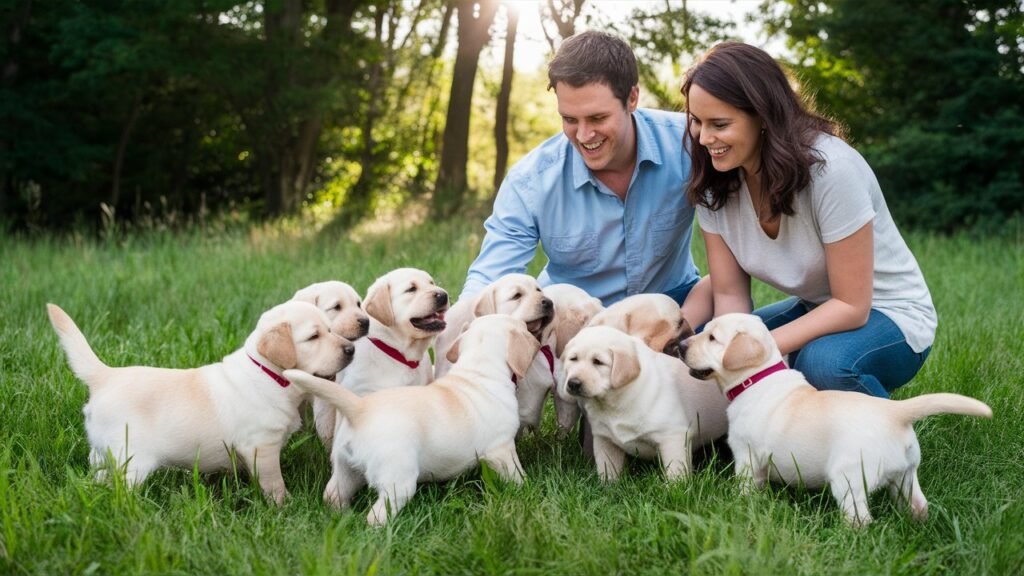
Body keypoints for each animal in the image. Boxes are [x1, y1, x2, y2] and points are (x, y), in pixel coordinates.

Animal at [47, 297, 352, 500]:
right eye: (314, 336)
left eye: (330, 329)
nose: (350, 349)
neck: (268, 374)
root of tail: (105, 375)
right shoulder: (261, 446)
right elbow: (274, 483)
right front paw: (285, 505)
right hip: (130, 460)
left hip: (101, 453)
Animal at [280, 313, 536, 524]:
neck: (479, 370)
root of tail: (360, 408)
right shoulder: (501, 449)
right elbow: (517, 475)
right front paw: (527, 489)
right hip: (398, 481)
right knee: (376, 516)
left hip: (346, 469)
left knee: (332, 495)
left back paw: (341, 517)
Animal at [561, 323, 729, 479]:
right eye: (573, 359)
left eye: (598, 362)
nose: (573, 383)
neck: (614, 401)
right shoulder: (604, 439)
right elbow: (607, 470)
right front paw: (607, 487)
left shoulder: (673, 436)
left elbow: (675, 473)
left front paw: (676, 488)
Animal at [679, 311, 991, 528]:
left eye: (712, 338)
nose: (681, 345)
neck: (756, 378)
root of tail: (895, 412)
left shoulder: (746, 454)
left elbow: (744, 485)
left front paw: (738, 505)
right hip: (906, 475)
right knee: (918, 503)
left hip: (849, 478)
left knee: (861, 519)